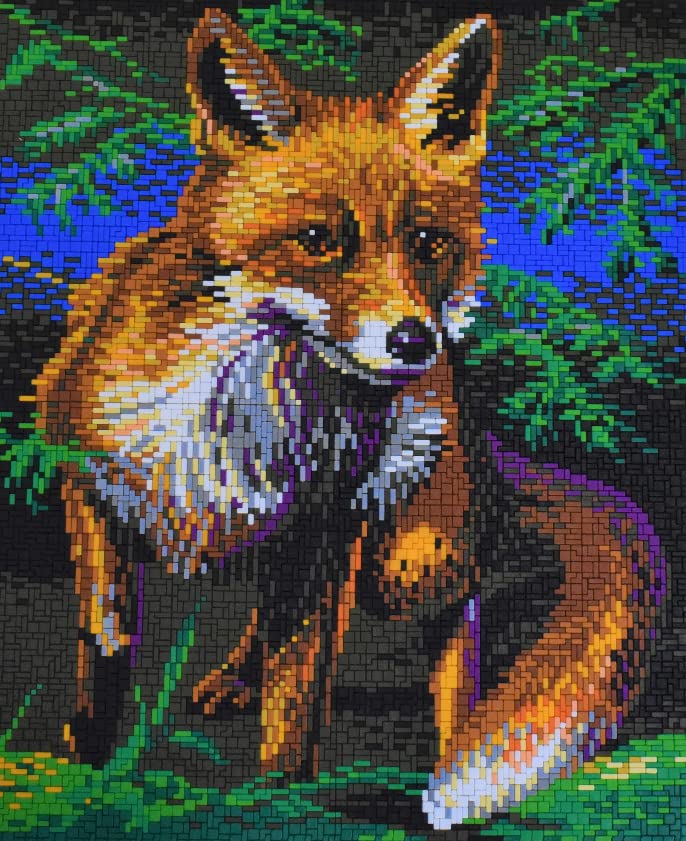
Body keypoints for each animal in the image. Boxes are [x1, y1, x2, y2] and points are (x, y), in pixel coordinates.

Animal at [33, 9, 665, 829]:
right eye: (317, 241)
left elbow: (298, 695)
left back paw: (455, 753)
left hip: (403, 564)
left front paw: (276, 800)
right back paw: (235, 677)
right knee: (280, 618)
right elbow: (107, 641)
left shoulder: (324, 533)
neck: (237, 414)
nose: (416, 341)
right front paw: (89, 758)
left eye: (428, 242)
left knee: (454, 629)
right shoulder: (91, 491)